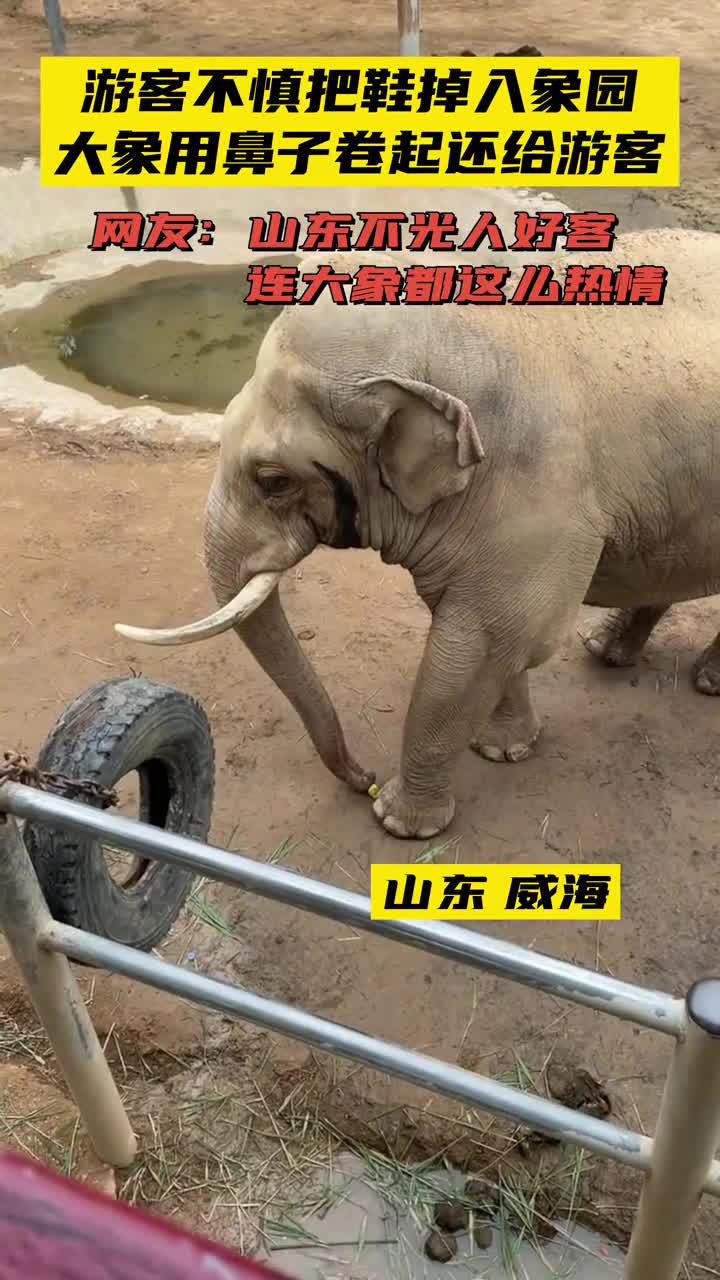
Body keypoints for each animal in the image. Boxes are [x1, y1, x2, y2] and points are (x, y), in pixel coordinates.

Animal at [115, 227, 720, 840]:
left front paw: (399, 823)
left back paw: (703, 682)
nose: (362, 777)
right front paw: (501, 750)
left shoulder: (543, 495)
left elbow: (489, 637)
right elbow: (494, 637)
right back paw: (607, 651)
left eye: (273, 480)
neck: (442, 336)